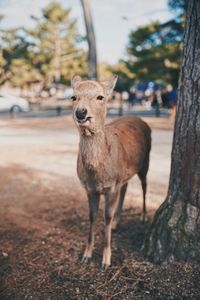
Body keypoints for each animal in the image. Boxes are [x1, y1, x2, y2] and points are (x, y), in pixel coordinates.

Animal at [71, 75, 151, 270]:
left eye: (100, 97)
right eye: (73, 97)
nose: (81, 113)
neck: (97, 174)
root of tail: (141, 119)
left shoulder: (111, 186)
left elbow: (106, 217)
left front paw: (106, 260)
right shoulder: (89, 188)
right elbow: (92, 216)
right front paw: (86, 254)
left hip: (145, 162)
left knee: (144, 186)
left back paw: (143, 217)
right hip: (124, 174)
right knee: (126, 187)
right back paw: (117, 222)